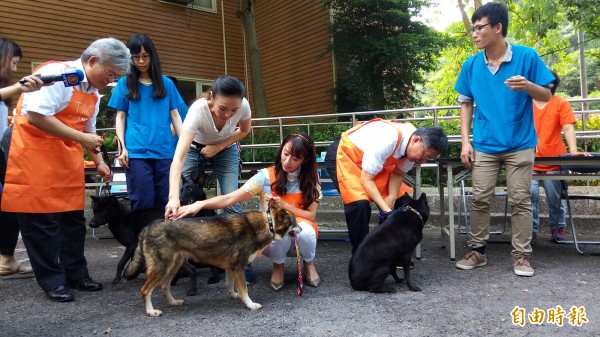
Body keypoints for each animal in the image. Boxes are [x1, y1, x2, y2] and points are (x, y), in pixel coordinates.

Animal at [123, 201, 300, 316]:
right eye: (294, 222)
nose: (302, 228)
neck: (266, 224)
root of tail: (147, 228)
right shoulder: (239, 267)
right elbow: (244, 289)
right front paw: (249, 304)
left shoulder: (231, 268)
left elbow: (230, 285)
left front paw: (234, 296)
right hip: (162, 268)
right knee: (145, 290)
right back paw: (150, 311)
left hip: (173, 266)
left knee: (164, 286)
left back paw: (173, 302)